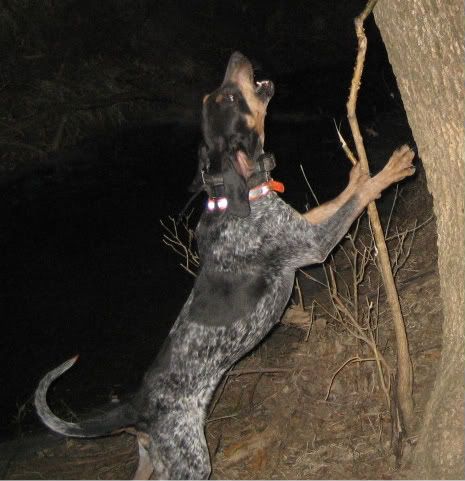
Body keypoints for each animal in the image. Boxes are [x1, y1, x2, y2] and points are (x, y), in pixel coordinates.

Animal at [35, 51, 415, 479]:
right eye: (228, 99)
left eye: (214, 96)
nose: (238, 56)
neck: (239, 195)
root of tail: (137, 408)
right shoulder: (314, 245)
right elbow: (357, 198)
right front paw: (390, 168)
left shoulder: (302, 225)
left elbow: (338, 198)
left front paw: (357, 172)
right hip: (191, 461)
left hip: (152, 461)